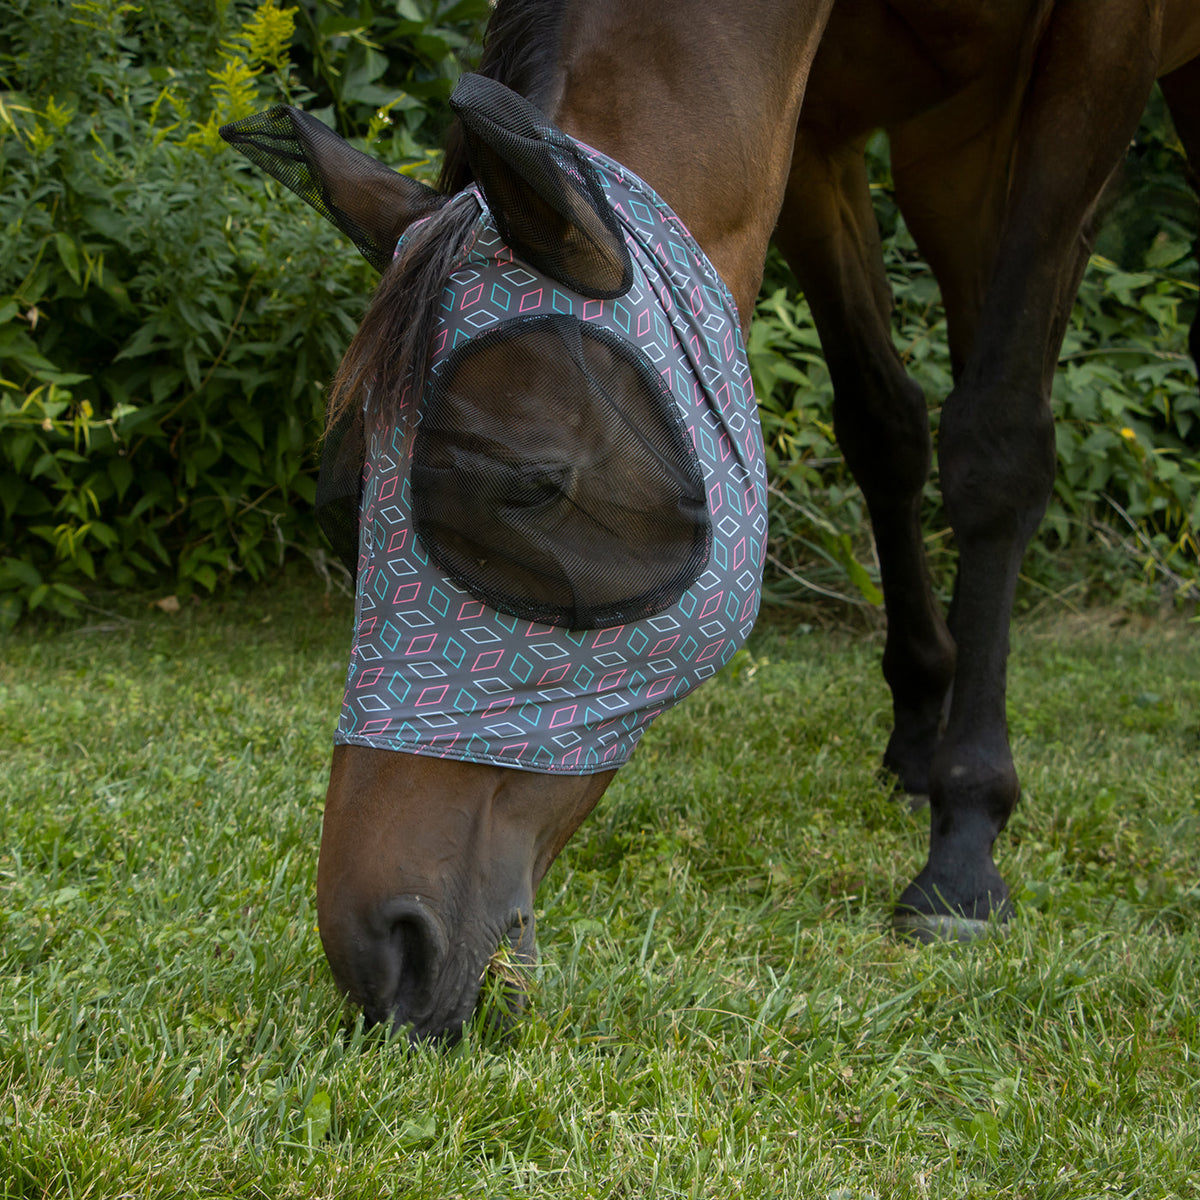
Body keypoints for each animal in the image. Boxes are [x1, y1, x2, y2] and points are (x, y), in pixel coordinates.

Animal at [220, 0, 1200, 1041]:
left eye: (525, 486)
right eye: (341, 506)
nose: (379, 948)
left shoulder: (1094, 58)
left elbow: (997, 446)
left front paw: (965, 845)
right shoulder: (818, 130)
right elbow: (881, 426)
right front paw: (921, 730)